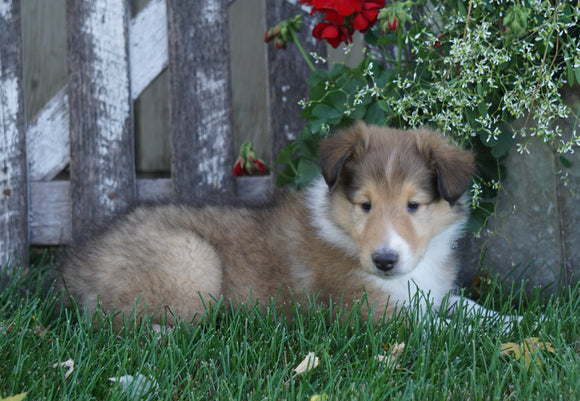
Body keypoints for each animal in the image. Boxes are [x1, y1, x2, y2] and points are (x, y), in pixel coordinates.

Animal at [56, 123, 506, 326]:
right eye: (364, 205)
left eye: (413, 205)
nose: (384, 261)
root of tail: (77, 262)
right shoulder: (371, 313)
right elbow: (446, 330)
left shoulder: (430, 296)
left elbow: (472, 309)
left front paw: (516, 323)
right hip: (191, 261)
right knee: (114, 322)